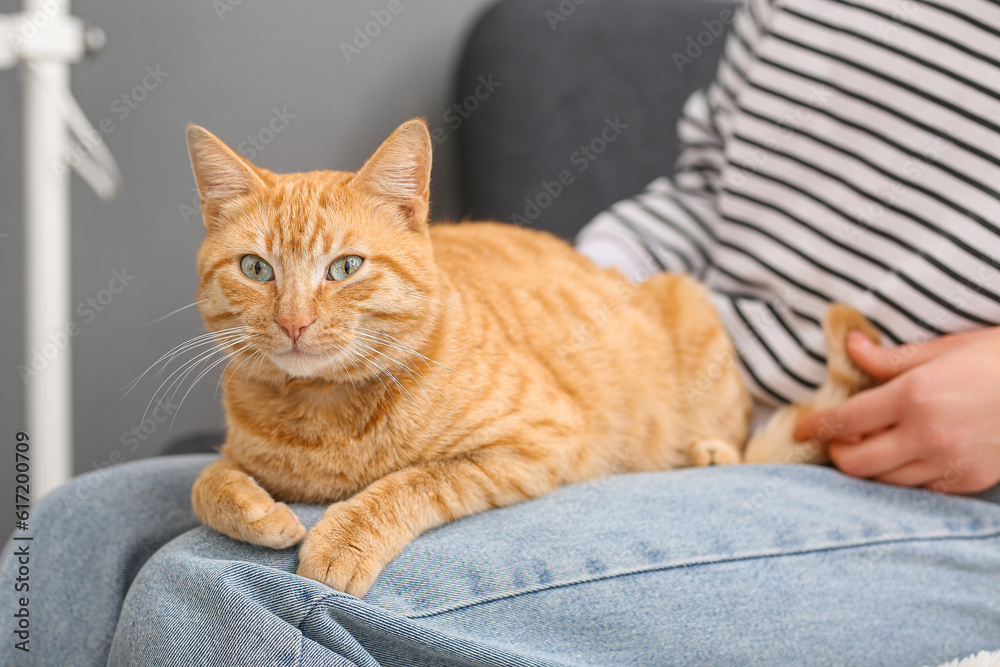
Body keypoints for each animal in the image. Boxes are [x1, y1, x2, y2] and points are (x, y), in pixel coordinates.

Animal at [188, 117, 876, 596]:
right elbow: (207, 483)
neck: (322, 411)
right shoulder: (235, 456)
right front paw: (263, 513)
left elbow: (412, 481)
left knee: (734, 438)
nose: (293, 321)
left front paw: (341, 542)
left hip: (688, 310)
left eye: (345, 267)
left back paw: (706, 452)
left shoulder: (537, 441)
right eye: (256, 269)